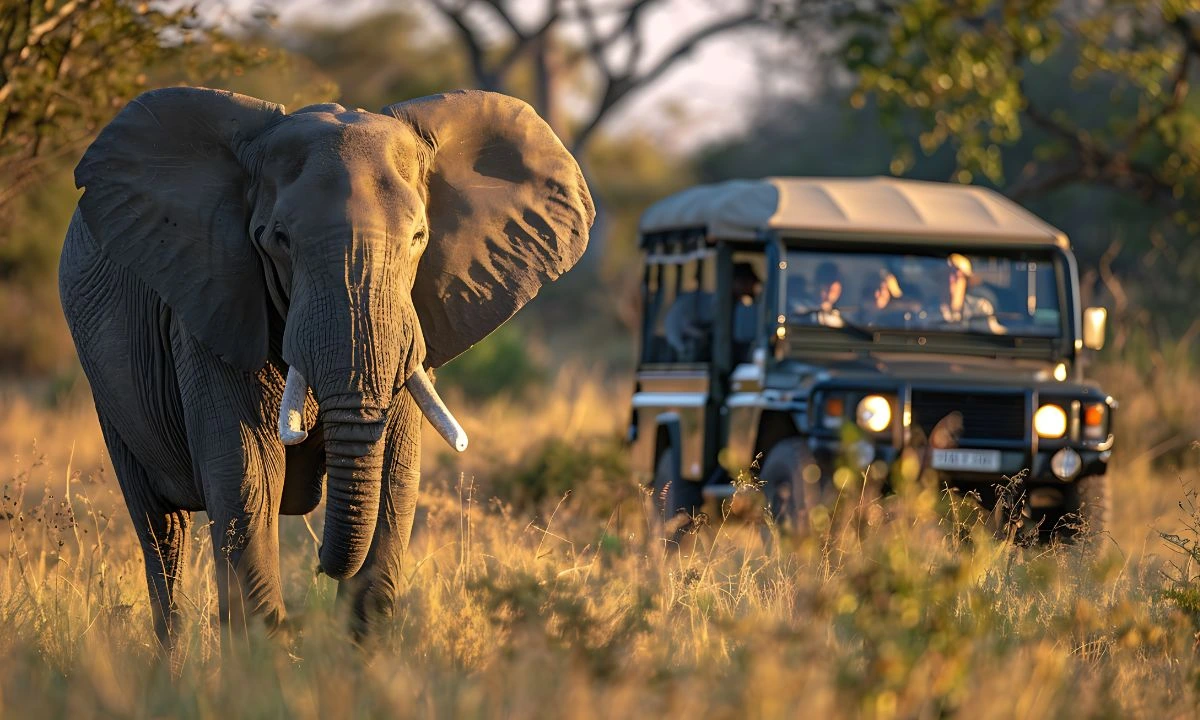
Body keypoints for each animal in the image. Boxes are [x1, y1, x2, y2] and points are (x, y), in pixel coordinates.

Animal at [58, 86, 594, 646]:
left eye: (419, 238)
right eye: (279, 240)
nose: (317, 563)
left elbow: (394, 480)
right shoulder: (212, 304)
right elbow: (249, 477)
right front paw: (263, 661)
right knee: (161, 532)